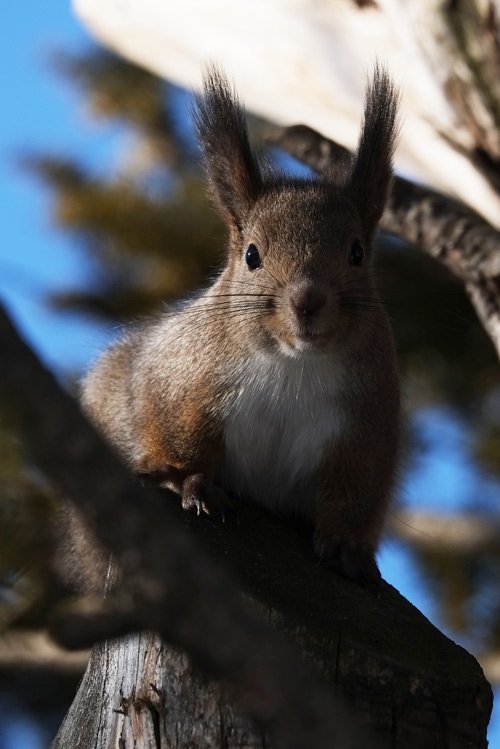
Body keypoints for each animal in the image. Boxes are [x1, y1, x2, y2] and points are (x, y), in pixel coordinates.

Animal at [82, 65, 402, 584]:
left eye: (357, 252)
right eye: (252, 255)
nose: (308, 300)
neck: (294, 365)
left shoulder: (365, 429)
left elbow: (354, 495)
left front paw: (346, 545)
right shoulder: (181, 379)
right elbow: (172, 429)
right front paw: (189, 481)